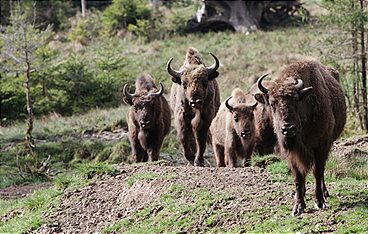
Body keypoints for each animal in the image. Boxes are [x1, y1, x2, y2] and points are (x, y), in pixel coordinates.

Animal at [254, 59, 346, 216]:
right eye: (272, 103)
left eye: (296, 100)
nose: (288, 129)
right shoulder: (291, 153)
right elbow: (298, 177)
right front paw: (298, 207)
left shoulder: (320, 146)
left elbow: (317, 172)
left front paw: (319, 202)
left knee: (320, 172)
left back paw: (325, 193)